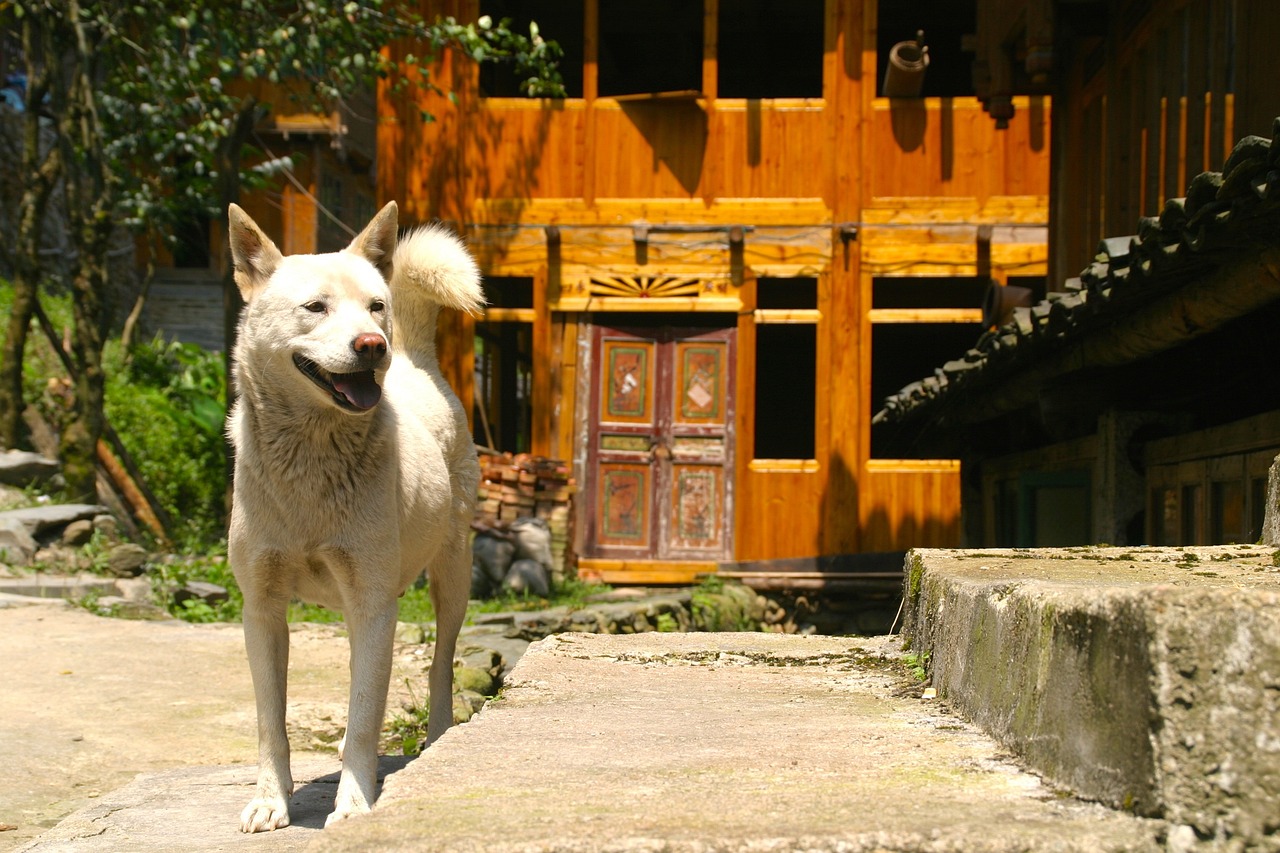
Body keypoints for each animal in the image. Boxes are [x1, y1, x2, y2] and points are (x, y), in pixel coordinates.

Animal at [225, 201, 483, 829]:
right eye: (315, 306)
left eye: (375, 305)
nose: (371, 345)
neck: (311, 463)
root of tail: (415, 358)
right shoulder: (261, 609)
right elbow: (271, 723)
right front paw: (271, 800)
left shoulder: (373, 601)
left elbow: (367, 714)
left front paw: (355, 802)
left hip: (451, 578)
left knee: (439, 667)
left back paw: (436, 738)